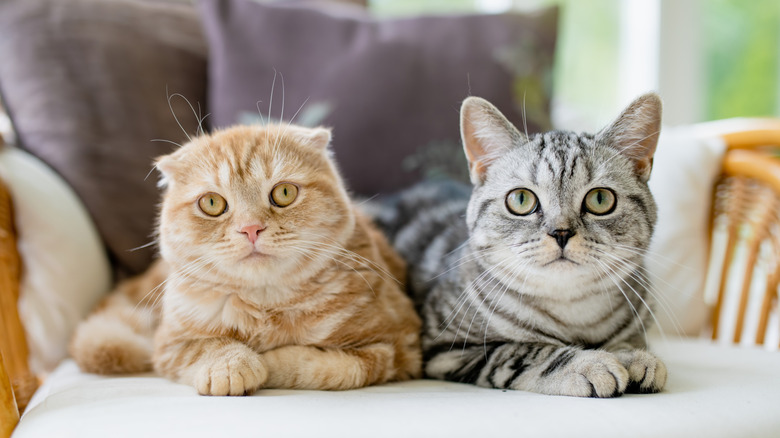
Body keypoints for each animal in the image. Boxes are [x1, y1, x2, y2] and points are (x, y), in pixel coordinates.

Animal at [372, 92, 664, 396]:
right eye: (521, 199)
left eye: (600, 199)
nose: (561, 232)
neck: (573, 313)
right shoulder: (446, 348)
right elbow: (525, 351)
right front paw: (588, 363)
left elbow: (630, 341)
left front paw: (632, 355)